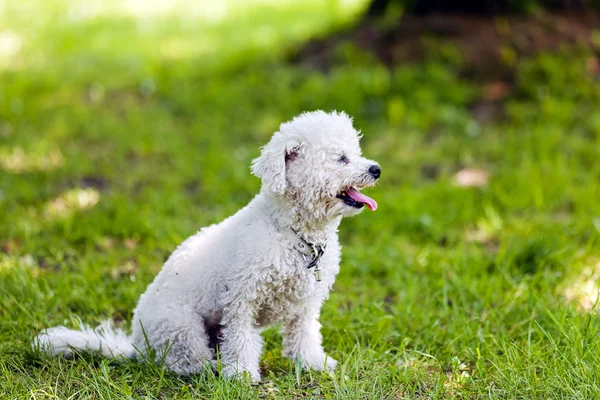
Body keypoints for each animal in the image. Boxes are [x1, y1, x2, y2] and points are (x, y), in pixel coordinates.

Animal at [34, 110, 380, 382]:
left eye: (356, 151)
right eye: (341, 158)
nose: (376, 169)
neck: (293, 234)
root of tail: (135, 344)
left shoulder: (305, 305)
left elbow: (304, 334)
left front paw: (312, 364)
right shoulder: (242, 300)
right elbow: (240, 340)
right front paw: (241, 375)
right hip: (182, 327)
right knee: (181, 362)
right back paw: (209, 368)